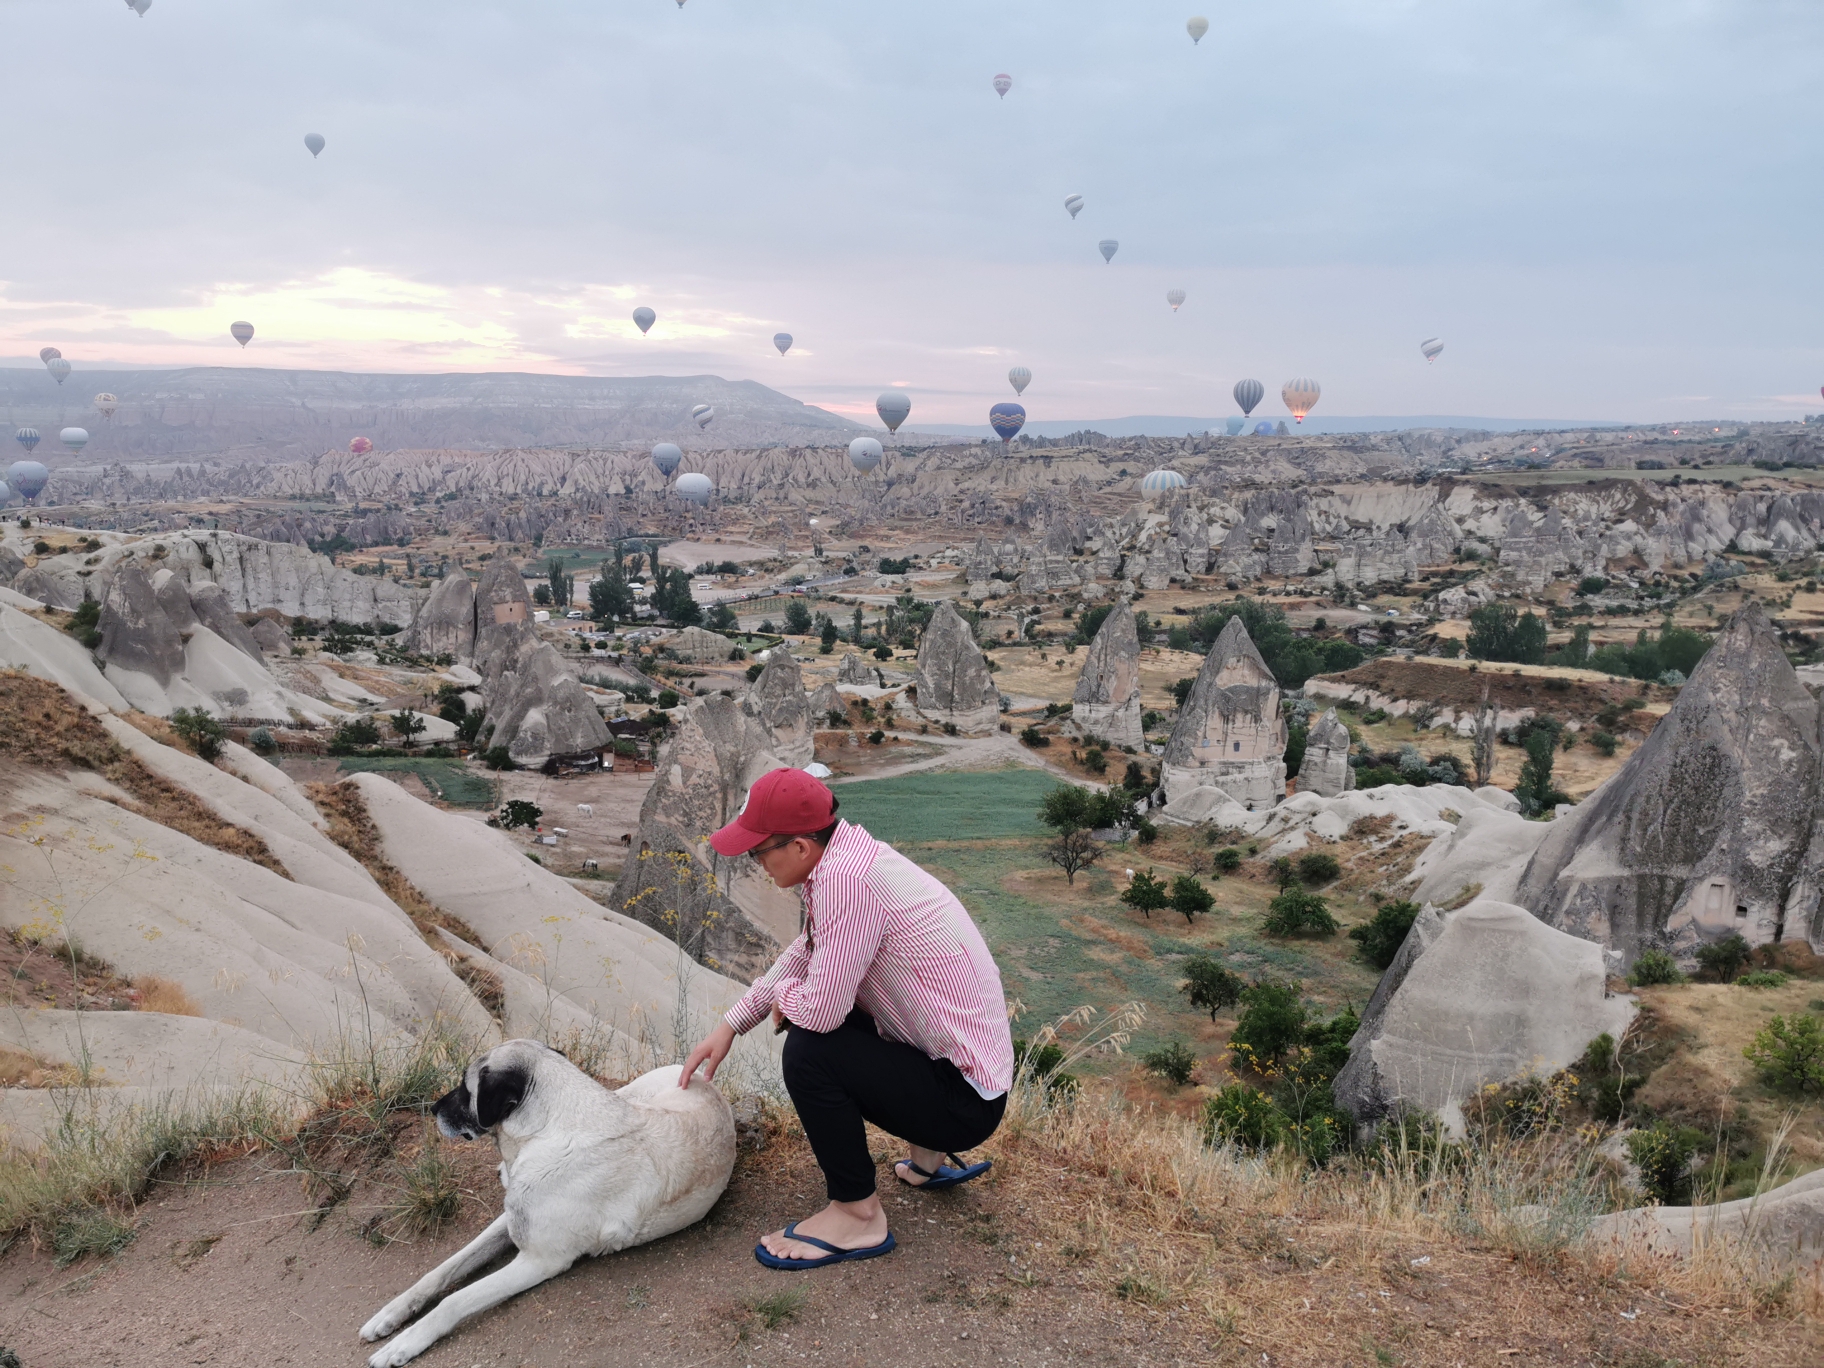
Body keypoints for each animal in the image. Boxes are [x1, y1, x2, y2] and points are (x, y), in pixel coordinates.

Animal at [359, 1043, 736, 1364]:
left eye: (466, 1090)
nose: (433, 1109)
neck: (546, 1131)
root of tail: (707, 1082)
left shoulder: (539, 1260)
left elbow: (454, 1300)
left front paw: (404, 1343)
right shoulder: (511, 1218)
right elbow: (441, 1271)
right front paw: (389, 1314)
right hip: (632, 1091)